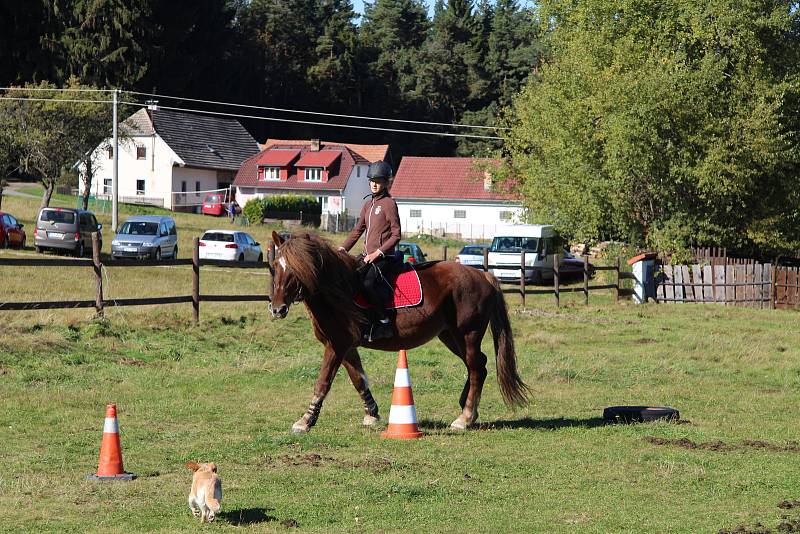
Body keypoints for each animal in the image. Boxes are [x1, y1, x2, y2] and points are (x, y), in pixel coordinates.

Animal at [268, 232, 532, 434]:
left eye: (296, 268)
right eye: (275, 267)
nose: (277, 309)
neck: (337, 289)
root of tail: (483, 275)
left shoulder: (336, 345)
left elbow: (322, 383)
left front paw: (305, 421)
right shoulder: (347, 346)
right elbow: (358, 379)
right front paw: (372, 414)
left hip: (468, 334)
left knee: (476, 368)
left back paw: (465, 417)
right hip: (450, 336)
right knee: (479, 365)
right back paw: (467, 408)